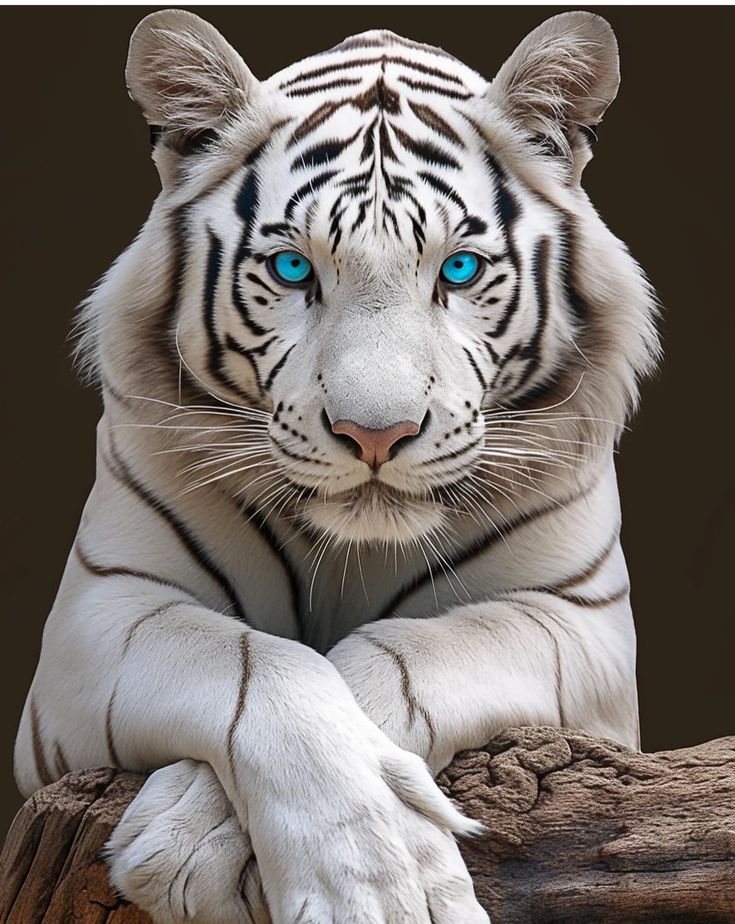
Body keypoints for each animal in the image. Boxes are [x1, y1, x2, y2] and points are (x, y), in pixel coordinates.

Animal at [14, 12, 660, 924]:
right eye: (294, 269)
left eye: (458, 269)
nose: (375, 434)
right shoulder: (97, 616)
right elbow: (256, 667)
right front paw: (366, 880)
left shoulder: (579, 624)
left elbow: (405, 655)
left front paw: (198, 836)